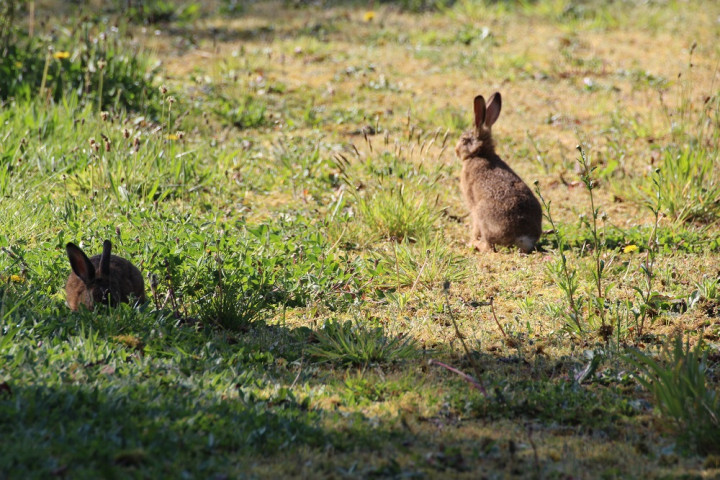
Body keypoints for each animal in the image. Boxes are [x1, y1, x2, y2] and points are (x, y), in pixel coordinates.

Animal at [456, 91, 540, 253]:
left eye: (464, 140)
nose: (456, 151)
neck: (480, 153)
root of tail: (524, 237)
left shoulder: (473, 206)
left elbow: (475, 228)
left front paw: (471, 241)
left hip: (483, 214)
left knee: (489, 246)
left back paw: (476, 245)